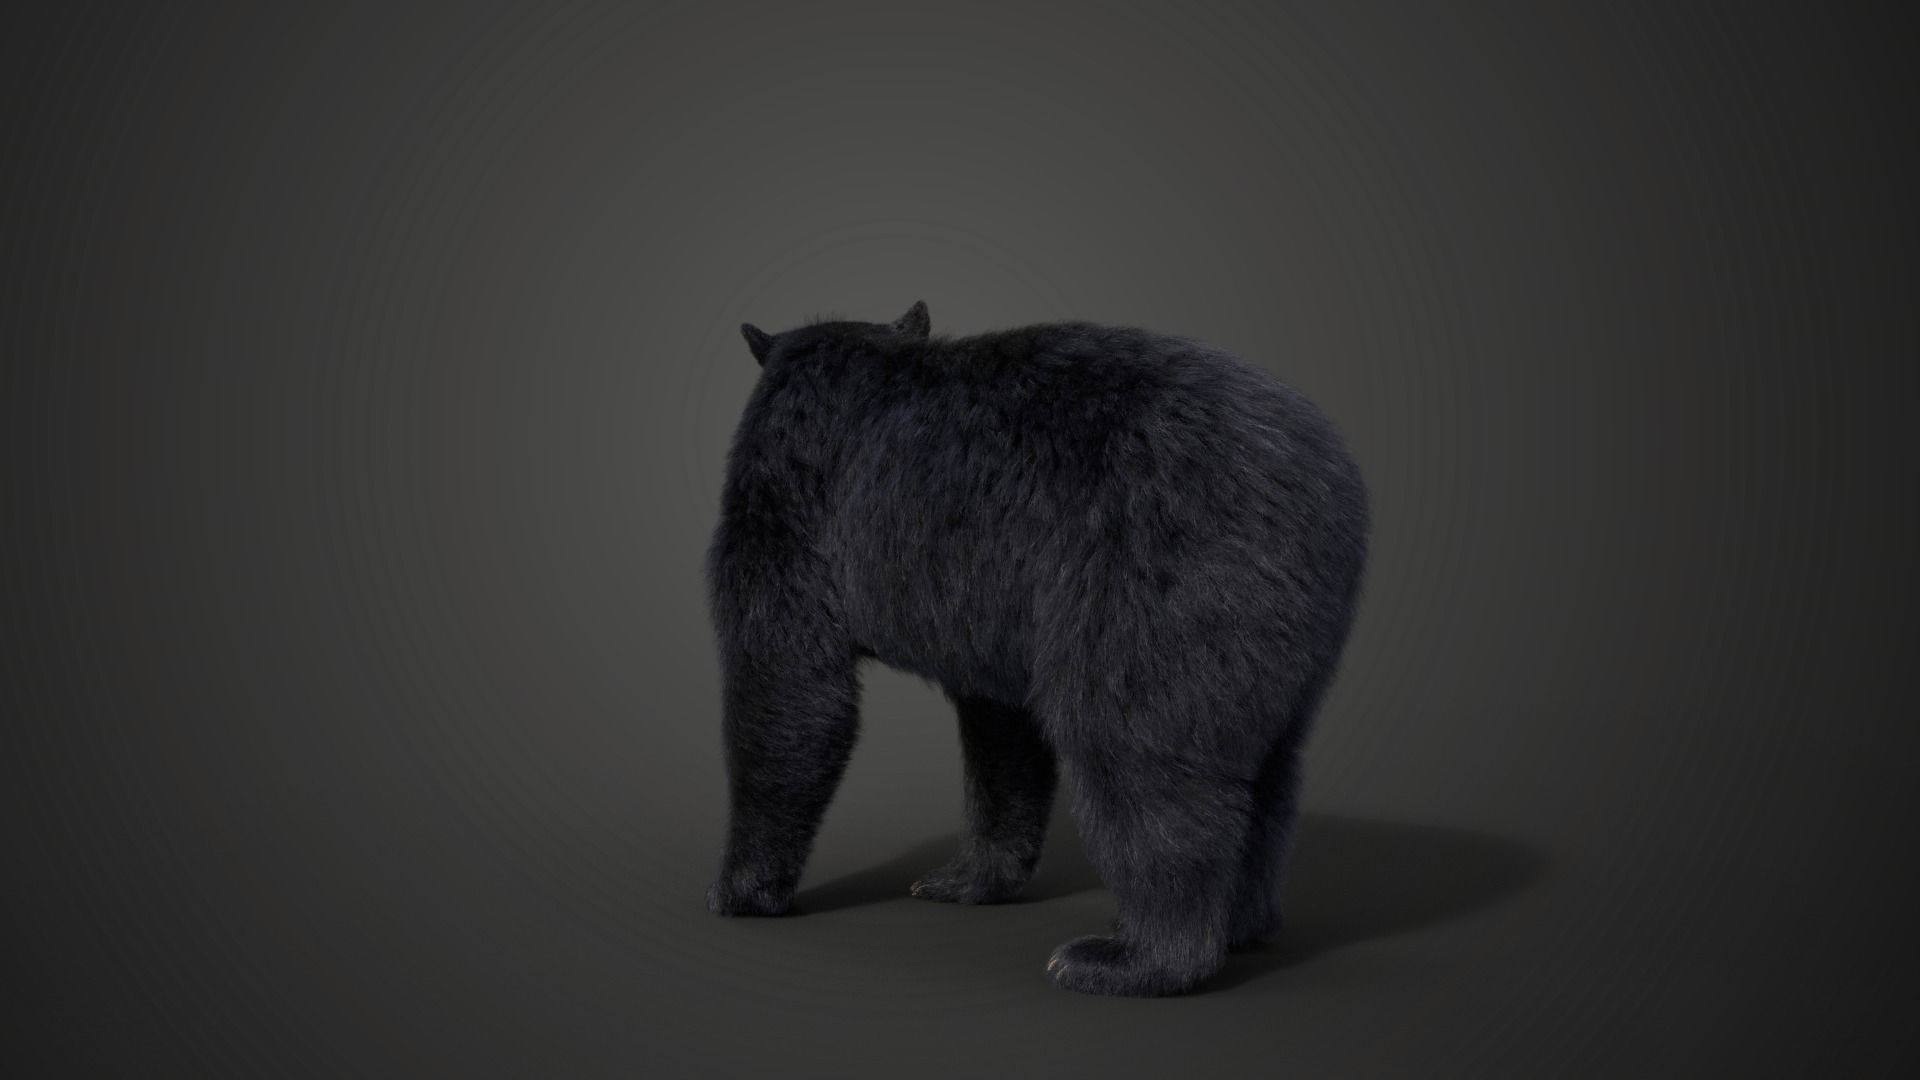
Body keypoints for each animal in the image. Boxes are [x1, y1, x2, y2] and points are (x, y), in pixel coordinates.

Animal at [704, 301, 1369, 996]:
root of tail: (1317, 485)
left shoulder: (790, 501)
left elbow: (785, 682)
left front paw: (739, 890)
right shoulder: (988, 602)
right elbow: (1002, 731)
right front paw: (962, 878)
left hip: (1161, 573)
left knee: (1134, 750)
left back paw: (1126, 956)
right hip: (1293, 633)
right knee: (1271, 772)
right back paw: (1241, 924)